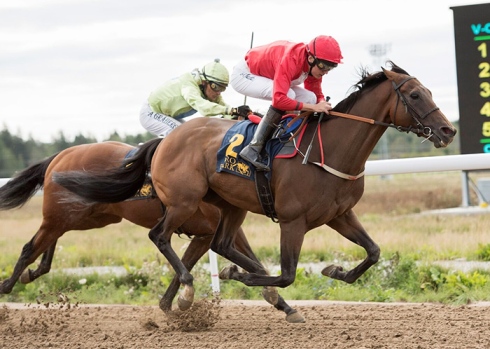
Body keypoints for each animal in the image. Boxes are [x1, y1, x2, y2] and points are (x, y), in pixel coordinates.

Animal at [1, 138, 302, 320]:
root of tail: (62, 154)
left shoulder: (208, 234)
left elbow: (190, 264)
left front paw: (285, 306)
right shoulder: (211, 229)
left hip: (87, 217)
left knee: (48, 242)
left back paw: (32, 272)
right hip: (66, 214)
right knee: (29, 247)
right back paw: (7, 285)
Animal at [54, 61, 460, 312]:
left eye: (427, 90)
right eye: (415, 95)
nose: (447, 130)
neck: (328, 152)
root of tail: (166, 140)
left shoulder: (340, 214)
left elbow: (373, 252)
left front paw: (335, 271)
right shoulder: (294, 221)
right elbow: (288, 273)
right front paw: (244, 278)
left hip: (230, 205)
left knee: (219, 243)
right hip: (185, 202)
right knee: (160, 236)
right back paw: (187, 290)